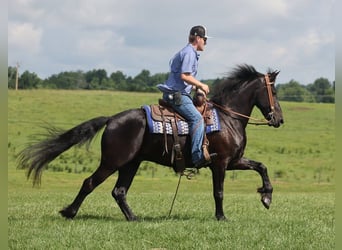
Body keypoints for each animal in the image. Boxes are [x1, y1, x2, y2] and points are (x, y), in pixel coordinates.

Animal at [18, 64, 284, 221]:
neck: (228, 117)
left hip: (130, 164)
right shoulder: (220, 164)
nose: (279, 119)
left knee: (119, 191)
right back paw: (69, 212)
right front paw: (221, 217)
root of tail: (112, 119)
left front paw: (267, 197)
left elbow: (262, 167)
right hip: (113, 162)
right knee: (89, 183)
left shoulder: (235, 161)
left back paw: (133, 218)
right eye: (274, 92)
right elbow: (218, 192)